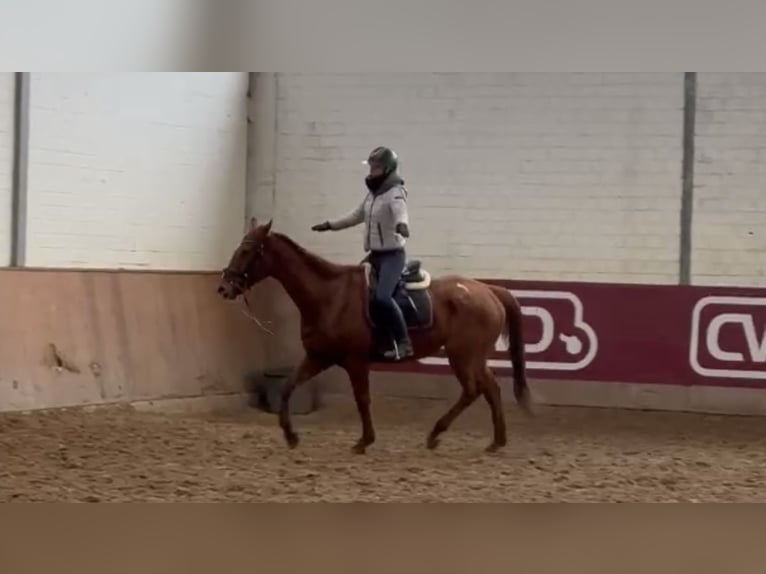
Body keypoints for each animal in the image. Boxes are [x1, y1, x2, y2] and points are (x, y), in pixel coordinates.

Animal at [218, 218, 536, 456]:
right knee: (491, 388)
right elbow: (287, 387)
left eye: (246, 250)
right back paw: (496, 441)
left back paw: (436, 434)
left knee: (472, 390)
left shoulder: (355, 361)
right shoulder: (318, 357)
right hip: (474, 356)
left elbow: (362, 399)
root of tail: (488, 290)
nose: (224, 287)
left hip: (463, 355)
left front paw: (364, 441)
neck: (329, 296)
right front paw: (290, 435)